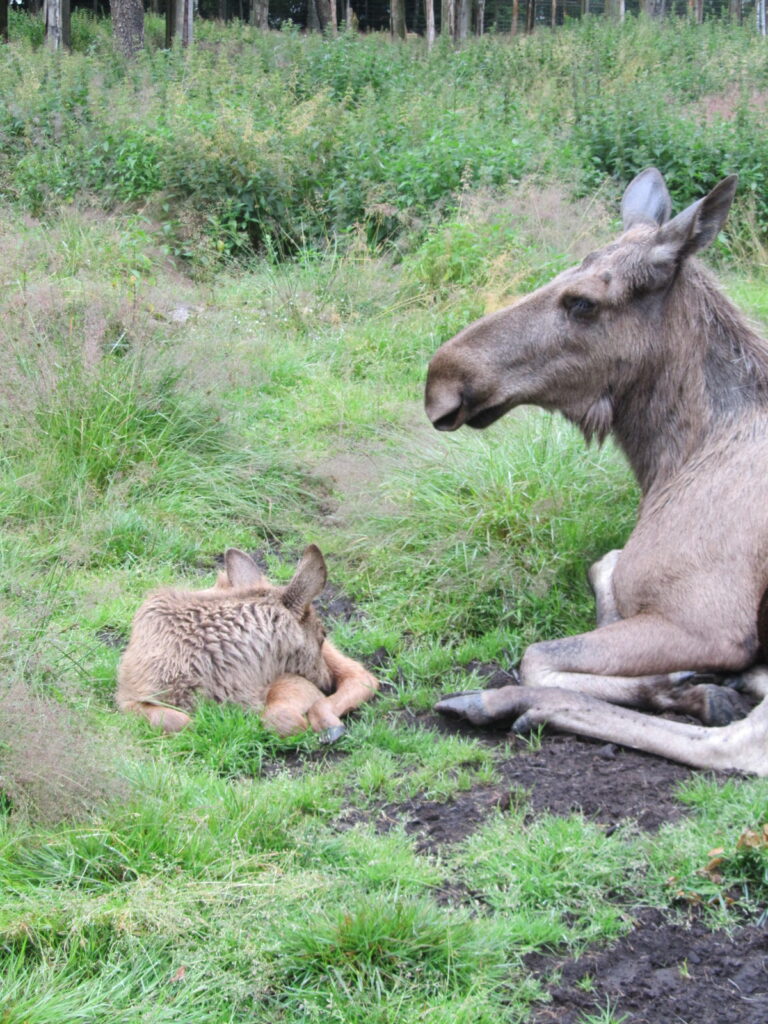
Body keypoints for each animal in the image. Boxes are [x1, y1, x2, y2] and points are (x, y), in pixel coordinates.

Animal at [116, 544, 378, 742]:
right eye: (321, 634)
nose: (326, 684)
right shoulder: (129, 697)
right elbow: (178, 720)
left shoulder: (289, 682)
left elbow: (278, 716)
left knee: (363, 676)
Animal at [425, 167, 768, 776]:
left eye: (582, 302)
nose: (439, 380)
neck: (674, 459)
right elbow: (603, 563)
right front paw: (688, 683)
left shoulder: (703, 620)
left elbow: (538, 655)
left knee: (737, 746)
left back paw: (501, 702)